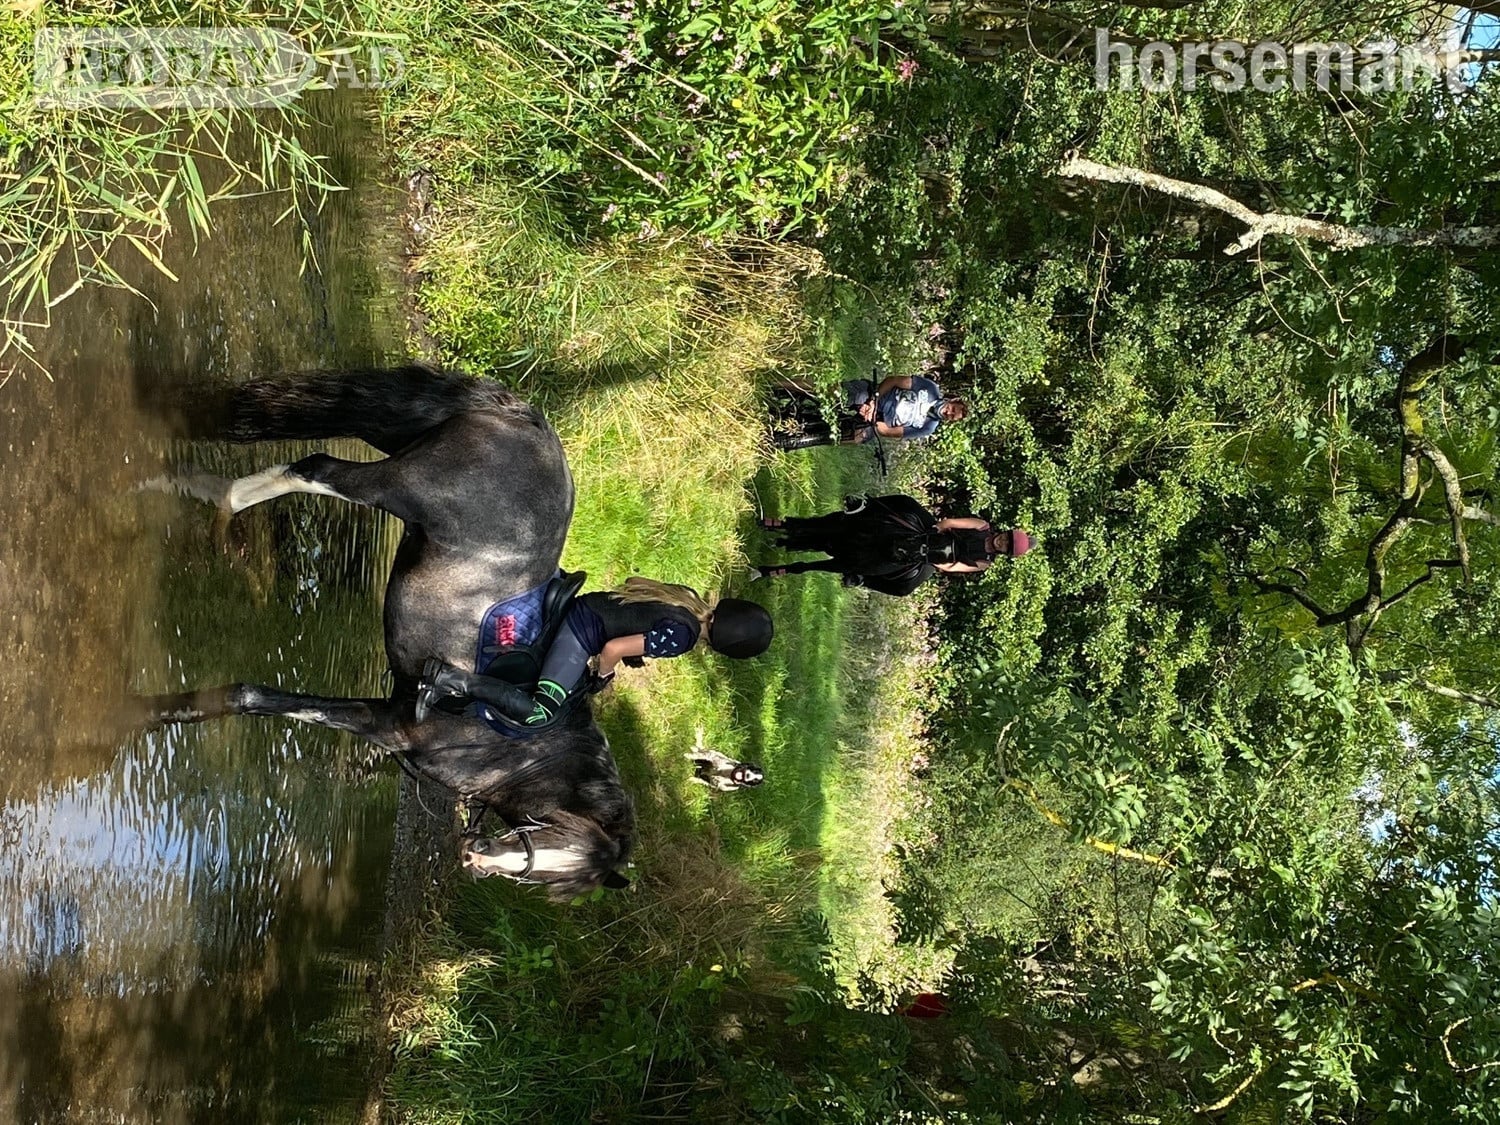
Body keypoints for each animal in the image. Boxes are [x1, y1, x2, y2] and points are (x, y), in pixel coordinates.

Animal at [138, 365, 634, 900]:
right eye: (547, 835)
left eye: (549, 876)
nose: (475, 859)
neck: (527, 750)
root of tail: (523, 420)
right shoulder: (393, 724)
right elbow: (261, 700)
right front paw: (152, 713)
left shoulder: (390, 714)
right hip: (393, 486)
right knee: (315, 469)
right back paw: (217, 502)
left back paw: (180, 483)